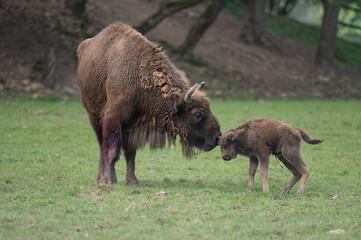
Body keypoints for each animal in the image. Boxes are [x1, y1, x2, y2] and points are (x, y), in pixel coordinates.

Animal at [77, 21, 221, 186]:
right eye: (198, 114)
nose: (217, 137)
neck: (140, 77)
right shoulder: (112, 117)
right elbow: (112, 150)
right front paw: (108, 180)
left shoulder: (132, 126)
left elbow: (130, 154)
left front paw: (132, 181)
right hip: (93, 116)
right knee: (102, 145)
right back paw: (101, 178)